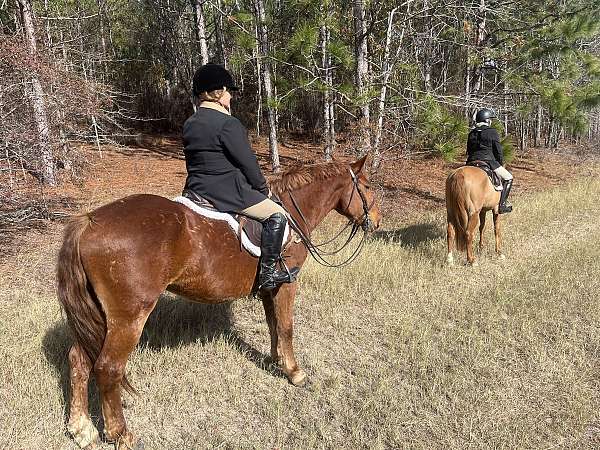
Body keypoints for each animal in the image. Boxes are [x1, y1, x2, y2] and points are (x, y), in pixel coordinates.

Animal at [58, 156, 382, 450]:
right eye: (366, 186)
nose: (377, 222)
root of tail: (89, 221)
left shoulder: (269, 288)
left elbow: (273, 324)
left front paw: (274, 359)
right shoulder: (287, 283)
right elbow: (287, 327)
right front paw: (294, 372)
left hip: (99, 317)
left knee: (78, 360)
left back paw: (81, 429)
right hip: (128, 318)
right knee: (108, 368)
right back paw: (121, 435)